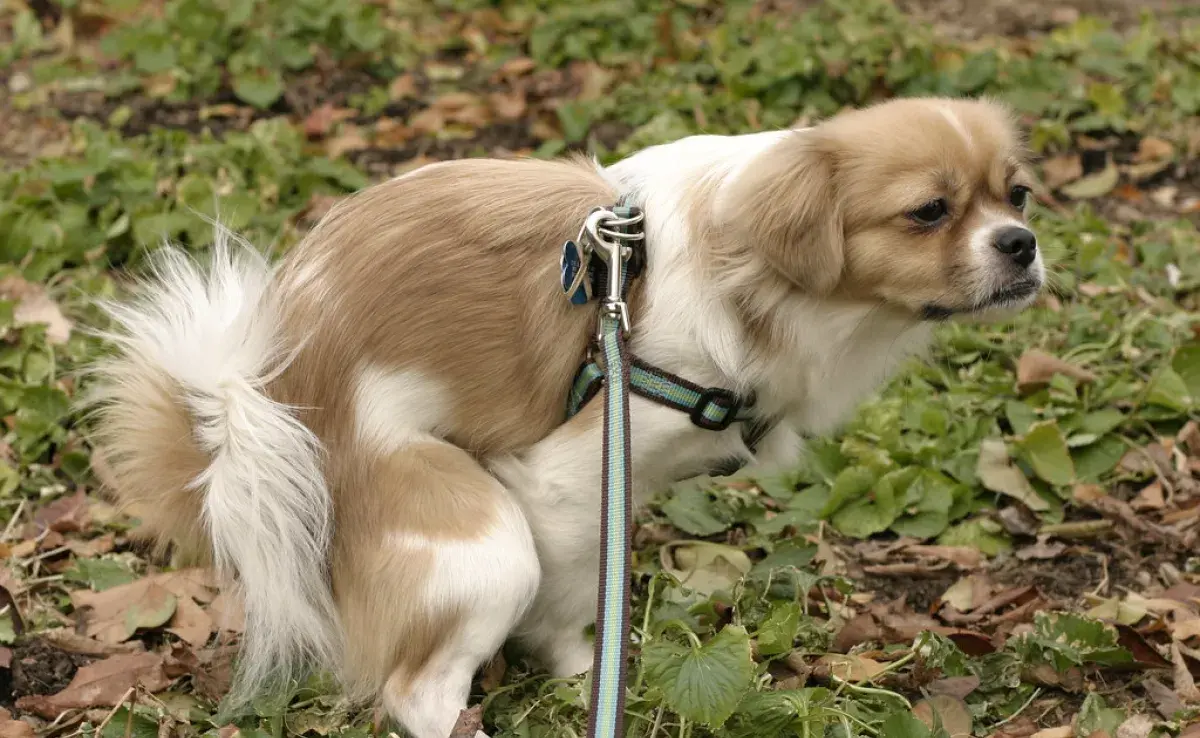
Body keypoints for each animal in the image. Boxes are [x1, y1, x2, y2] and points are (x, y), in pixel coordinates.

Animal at [87, 98, 1041, 738]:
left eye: (1019, 196)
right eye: (928, 212)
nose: (1022, 245)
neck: (749, 276)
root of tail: (259, 414)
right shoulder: (575, 474)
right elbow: (579, 596)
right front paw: (588, 676)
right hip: (480, 543)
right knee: (417, 694)